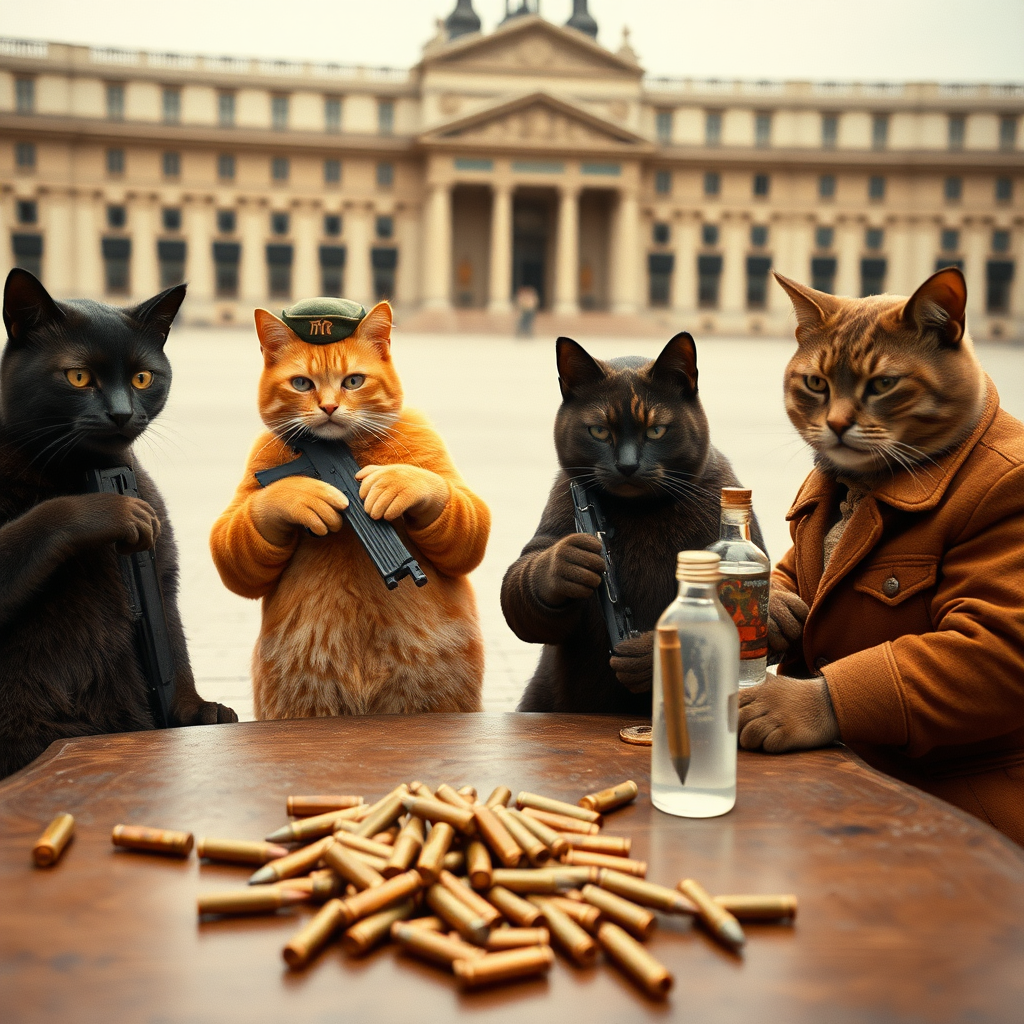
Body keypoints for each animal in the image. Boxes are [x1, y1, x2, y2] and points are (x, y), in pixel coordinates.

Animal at [0, 268, 234, 778]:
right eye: (78, 376)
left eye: (143, 377)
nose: (122, 413)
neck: (79, 471)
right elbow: (50, 517)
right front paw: (117, 511)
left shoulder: (164, 575)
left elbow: (173, 646)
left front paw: (197, 711)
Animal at [207, 299, 487, 716]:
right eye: (302, 383)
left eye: (353, 381)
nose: (329, 407)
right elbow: (235, 553)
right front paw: (296, 497)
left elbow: (467, 534)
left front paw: (399, 483)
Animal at [499, 333, 765, 712]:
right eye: (598, 431)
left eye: (656, 431)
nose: (627, 466)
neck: (639, 509)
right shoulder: (556, 514)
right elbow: (522, 596)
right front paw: (565, 563)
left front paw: (645, 657)